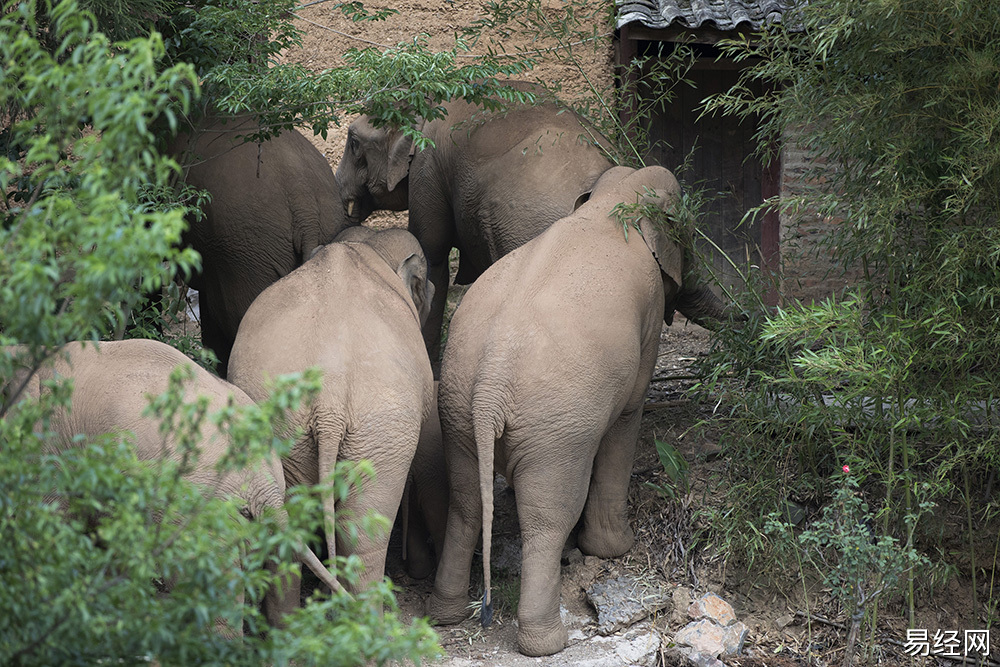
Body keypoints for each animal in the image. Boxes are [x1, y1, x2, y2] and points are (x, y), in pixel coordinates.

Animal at [229, 226, 436, 596]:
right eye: (424, 282)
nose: (435, 290)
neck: (361, 248)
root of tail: (329, 396)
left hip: (285, 430)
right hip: (382, 430)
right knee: (363, 536)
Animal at [422, 167, 736, 656]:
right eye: (687, 230)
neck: (613, 200)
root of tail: (492, 379)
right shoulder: (647, 316)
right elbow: (628, 413)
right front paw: (613, 550)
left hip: (456, 409)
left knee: (466, 502)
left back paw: (446, 615)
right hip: (555, 432)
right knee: (546, 517)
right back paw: (547, 643)